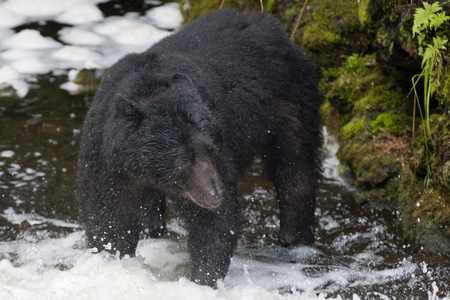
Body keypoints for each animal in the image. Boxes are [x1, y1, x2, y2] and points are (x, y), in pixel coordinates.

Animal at [78, 8, 324, 286]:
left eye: (212, 149)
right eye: (183, 159)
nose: (215, 193)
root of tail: (272, 25)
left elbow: (214, 223)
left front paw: (202, 279)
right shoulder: (107, 160)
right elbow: (108, 215)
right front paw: (113, 260)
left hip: (290, 100)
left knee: (296, 166)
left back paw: (294, 239)